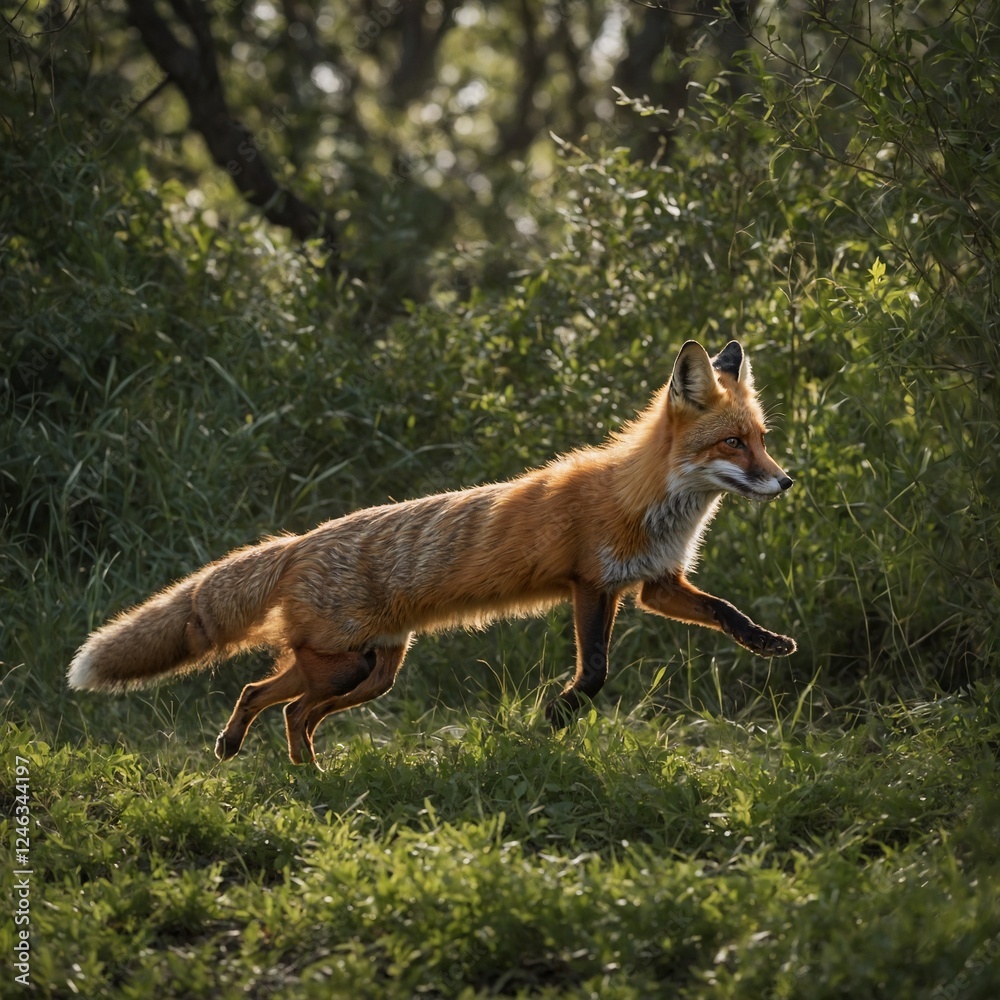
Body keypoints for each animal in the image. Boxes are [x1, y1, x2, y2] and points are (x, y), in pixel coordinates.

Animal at [68, 340, 796, 766]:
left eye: (761, 439)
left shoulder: (654, 584)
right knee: (276, 699)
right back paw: (284, 765)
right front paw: (554, 716)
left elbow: (726, 611)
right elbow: (593, 673)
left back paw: (284, 765)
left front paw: (766, 643)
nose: (785, 481)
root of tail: (298, 542)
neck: (647, 502)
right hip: (342, 666)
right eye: (733, 443)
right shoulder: (592, 584)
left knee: (279, 702)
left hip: (372, 671)